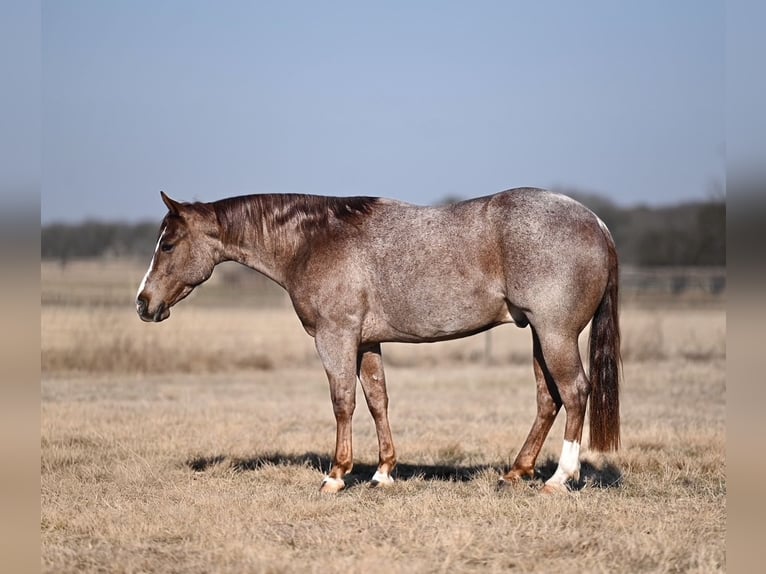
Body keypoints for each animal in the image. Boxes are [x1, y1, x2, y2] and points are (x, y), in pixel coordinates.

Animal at [136, 187, 620, 494]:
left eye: (168, 244)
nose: (143, 303)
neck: (315, 242)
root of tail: (597, 223)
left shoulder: (335, 337)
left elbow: (343, 402)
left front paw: (336, 475)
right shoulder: (367, 342)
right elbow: (377, 400)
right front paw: (383, 473)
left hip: (555, 333)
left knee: (575, 392)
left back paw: (560, 478)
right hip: (540, 335)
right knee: (548, 399)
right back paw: (516, 473)